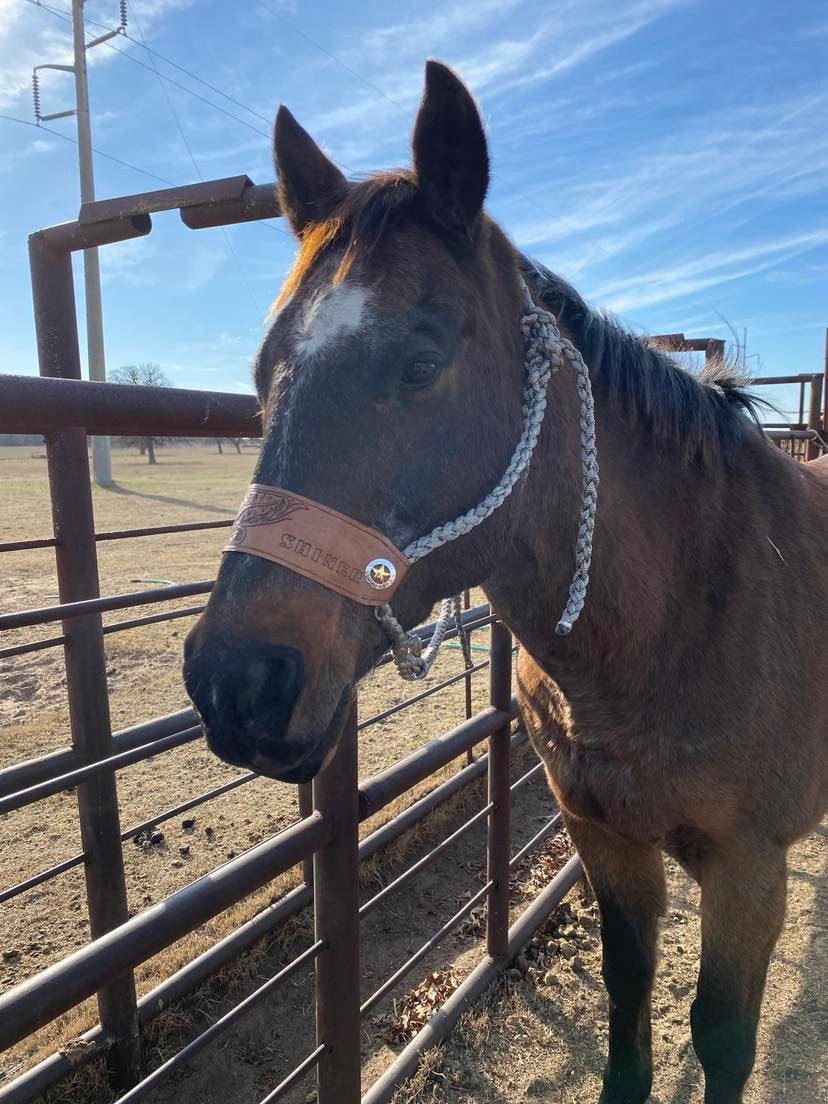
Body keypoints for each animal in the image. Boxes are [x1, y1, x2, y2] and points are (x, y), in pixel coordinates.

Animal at [183, 61, 828, 1104]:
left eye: (421, 360)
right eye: (263, 370)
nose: (236, 680)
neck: (683, 617)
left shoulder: (748, 873)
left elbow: (724, 1037)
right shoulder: (603, 837)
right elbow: (628, 988)